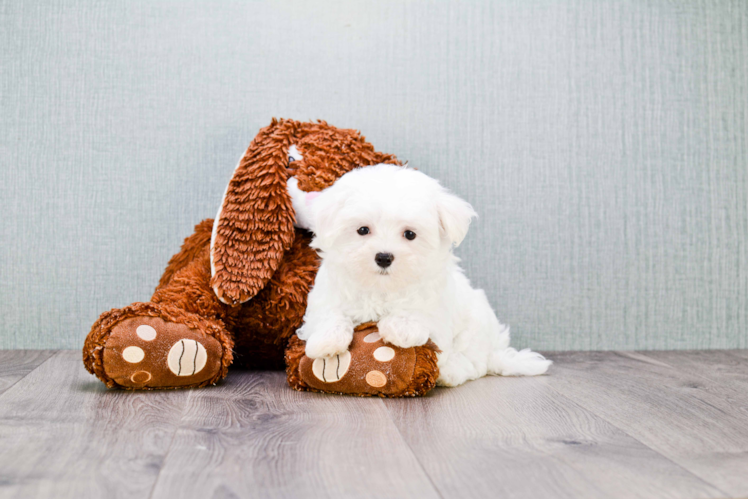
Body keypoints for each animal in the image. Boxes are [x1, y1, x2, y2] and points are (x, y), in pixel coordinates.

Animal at [286, 164, 548, 386]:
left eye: (410, 234)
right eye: (362, 230)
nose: (384, 257)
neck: (381, 287)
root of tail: (495, 350)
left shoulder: (435, 305)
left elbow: (417, 312)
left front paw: (400, 328)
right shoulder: (327, 294)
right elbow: (329, 313)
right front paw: (326, 341)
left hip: (475, 326)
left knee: (471, 363)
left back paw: (449, 373)